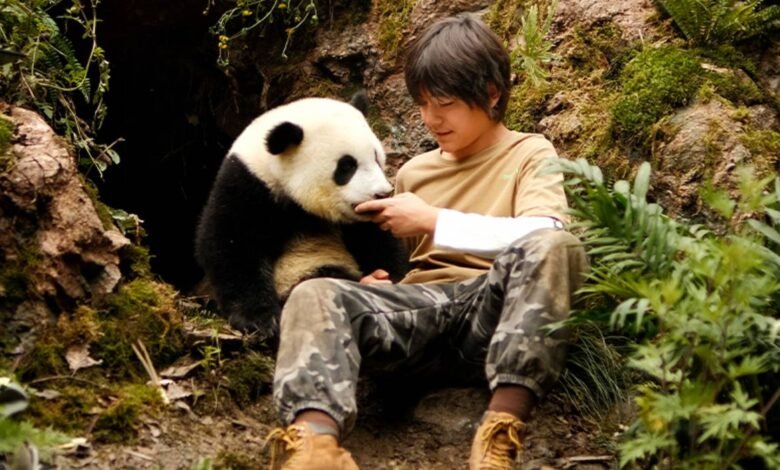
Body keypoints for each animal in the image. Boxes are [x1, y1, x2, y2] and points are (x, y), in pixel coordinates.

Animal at [194, 93, 408, 339]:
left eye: (376, 157)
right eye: (346, 166)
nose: (381, 193)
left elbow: (378, 240)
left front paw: (393, 277)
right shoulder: (248, 185)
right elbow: (231, 244)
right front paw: (260, 320)